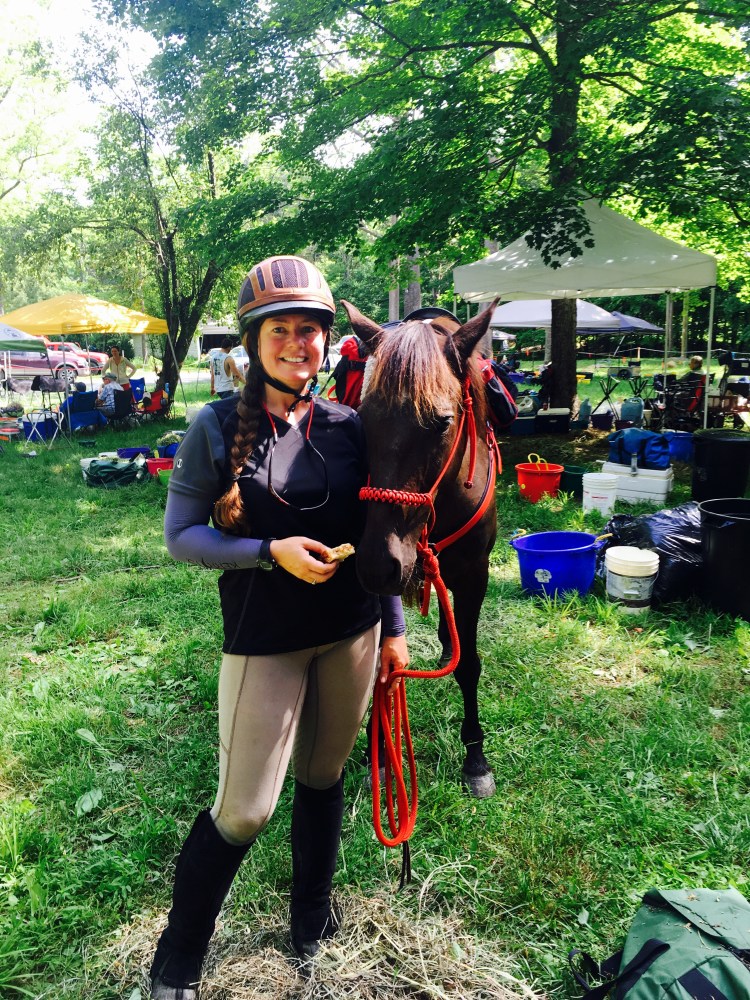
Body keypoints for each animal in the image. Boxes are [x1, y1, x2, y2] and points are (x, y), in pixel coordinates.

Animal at [341, 300, 498, 798]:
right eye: (361, 417)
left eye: (443, 421)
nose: (377, 564)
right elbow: (380, 668)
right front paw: (378, 753)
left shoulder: (475, 572)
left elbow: (470, 665)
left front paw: (475, 757)